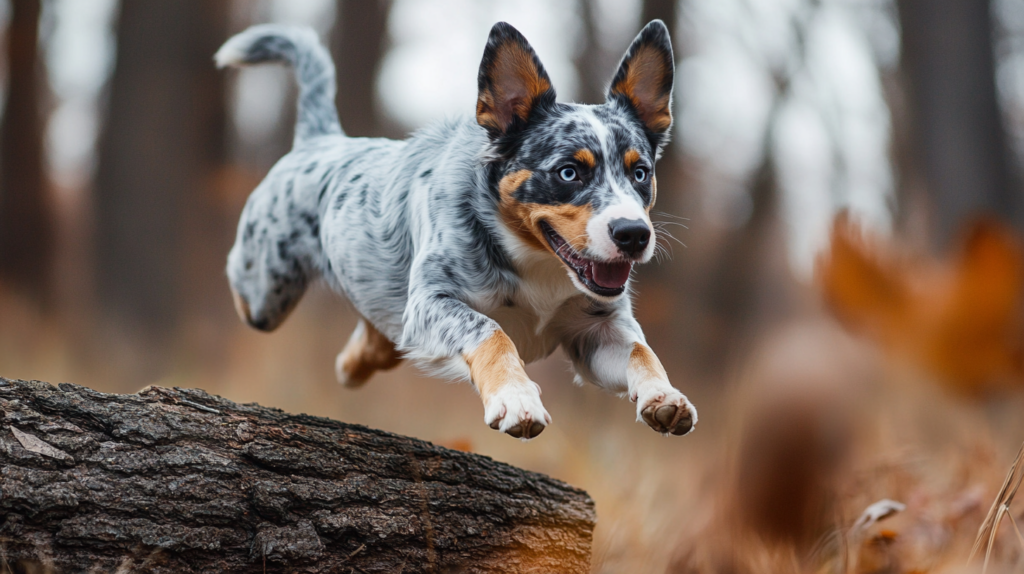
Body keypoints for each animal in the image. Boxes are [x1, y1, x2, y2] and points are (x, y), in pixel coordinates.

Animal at [215, 17, 696, 437]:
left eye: (641, 173)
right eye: (569, 172)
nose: (633, 235)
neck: (535, 265)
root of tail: (322, 139)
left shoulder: (597, 329)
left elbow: (639, 349)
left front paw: (665, 396)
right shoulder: (433, 301)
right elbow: (491, 330)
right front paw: (517, 399)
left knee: (378, 334)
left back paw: (352, 364)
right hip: (266, 293)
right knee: (243, 284)